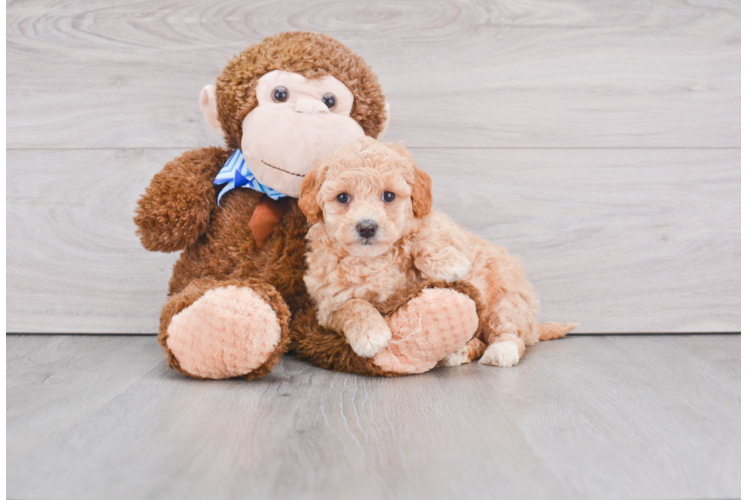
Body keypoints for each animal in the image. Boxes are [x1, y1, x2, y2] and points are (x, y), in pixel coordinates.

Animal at [298, 137, 572, 368]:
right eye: (342, 198)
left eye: (388, 196)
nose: (366, 227)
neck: (373, 259)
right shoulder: (328, 303)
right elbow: (352, 305)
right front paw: (370, 334)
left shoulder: (439, 227)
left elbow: (424, 237)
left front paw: (449, 263)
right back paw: (459, 352)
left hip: (507, 298)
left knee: (509, 331)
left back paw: (500, 352)